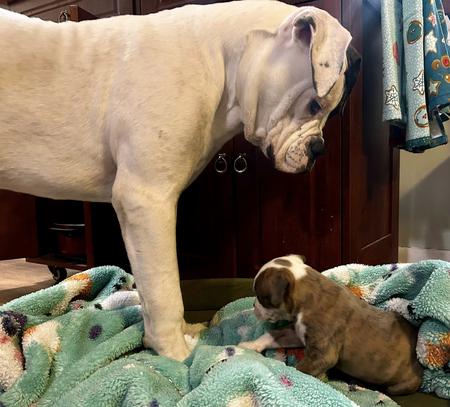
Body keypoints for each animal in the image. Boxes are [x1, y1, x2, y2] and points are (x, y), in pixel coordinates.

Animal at [0, 1, 360, 361]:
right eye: (314, 104)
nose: (319, 149)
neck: (222, 62)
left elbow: (152, 292)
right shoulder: (147, 201)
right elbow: (166, 290)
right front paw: (176, 353)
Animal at [238, 255, 423, 395]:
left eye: (262, 298)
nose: (254, 306)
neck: (308, 291)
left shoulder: (322, 354)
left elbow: (302, 368)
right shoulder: (296, 333)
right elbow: (273, 334)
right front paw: (250, 345)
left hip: (401, 385)